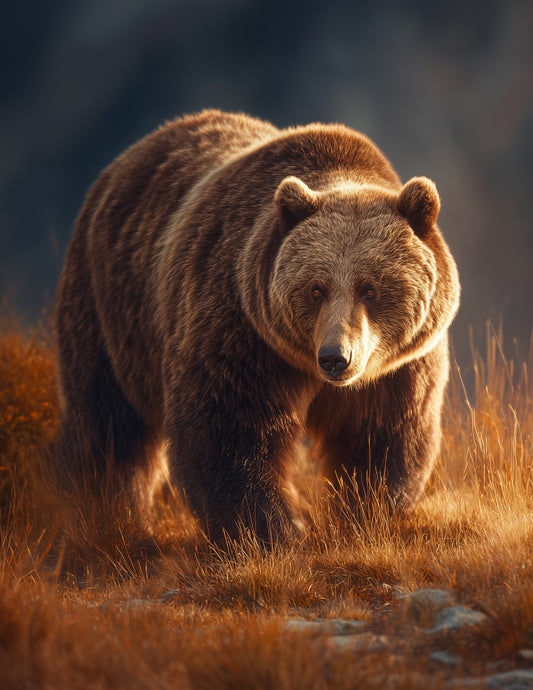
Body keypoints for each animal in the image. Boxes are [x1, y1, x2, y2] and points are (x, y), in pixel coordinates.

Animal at [54, 109, 460, 544]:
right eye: (316, 288)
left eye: (370, 289)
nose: (335, 358)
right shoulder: (241, 327)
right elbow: (229, 426)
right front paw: (275, 527)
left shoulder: (399, 366)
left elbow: (381, 434)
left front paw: (362, 513)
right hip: (109, 308)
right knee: (107, 423)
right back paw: (105, 507)